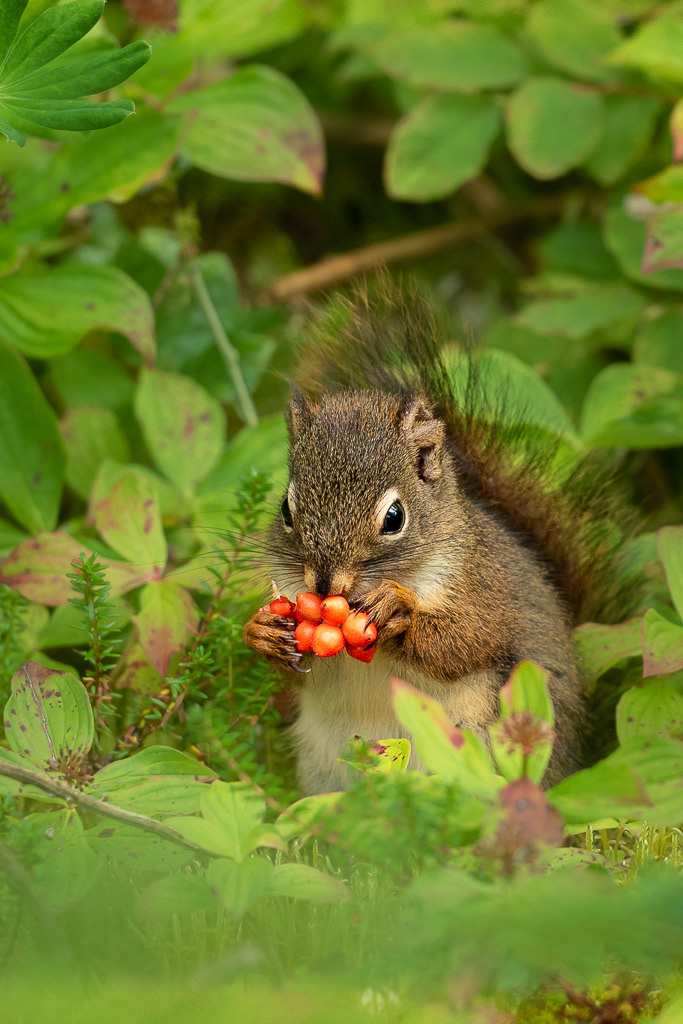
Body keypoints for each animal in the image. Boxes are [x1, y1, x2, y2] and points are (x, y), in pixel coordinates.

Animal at [244, 279, 636, 795]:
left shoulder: (484, 590)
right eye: (286, 511)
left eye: (394, 517)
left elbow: (467, 641)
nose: (326, 586)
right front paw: (261, 631)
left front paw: (399, 612)